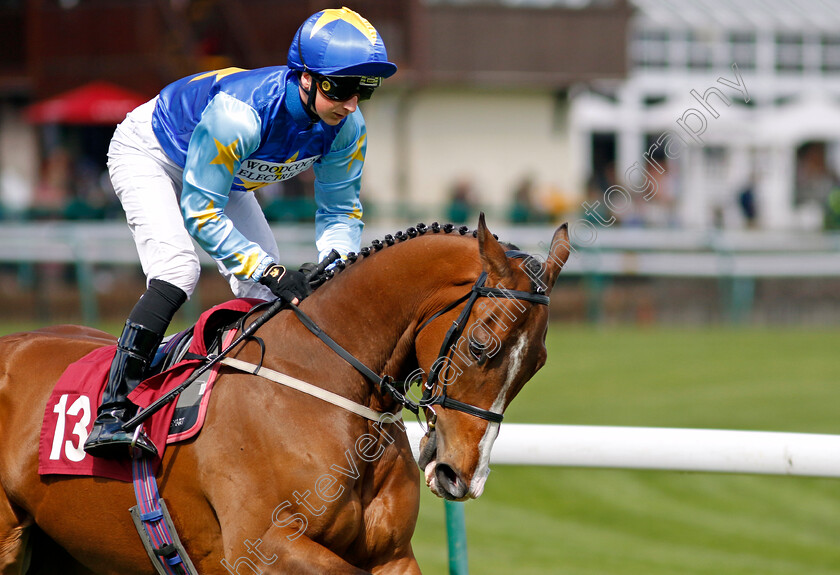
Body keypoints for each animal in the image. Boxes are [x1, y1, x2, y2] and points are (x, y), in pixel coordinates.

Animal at [0, 218, 572, 572]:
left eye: (537, 363)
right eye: (481, 344)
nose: (462, 475)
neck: (323, 380)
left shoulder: (391, 554)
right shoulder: (265, 548)